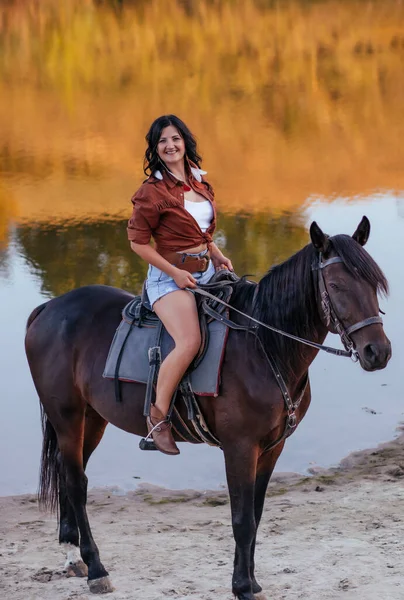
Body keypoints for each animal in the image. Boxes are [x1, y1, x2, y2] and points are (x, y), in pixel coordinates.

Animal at [25, 217, 392, 600]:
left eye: (373, 283)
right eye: (336, 285)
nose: (377, 352)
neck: (263, 346)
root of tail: (48, 308)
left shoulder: (272, 448)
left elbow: (256, 514)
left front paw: (251, 581)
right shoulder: (240, 447)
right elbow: (242, 519)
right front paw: (243, 587)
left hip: (92, 418)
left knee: (67, 472)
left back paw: (73, 556)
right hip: (67, 417)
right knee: (75, 482)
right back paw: (96, 568)